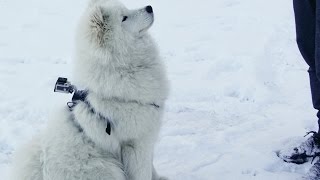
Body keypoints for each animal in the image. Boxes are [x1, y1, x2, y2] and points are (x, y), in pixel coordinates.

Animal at [11, 0, 169, 179]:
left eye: (127, 9)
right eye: (124, 18)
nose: (150, 7)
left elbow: (152, 167)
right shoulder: (137, 143)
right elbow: (143, 172)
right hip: (106, 167)